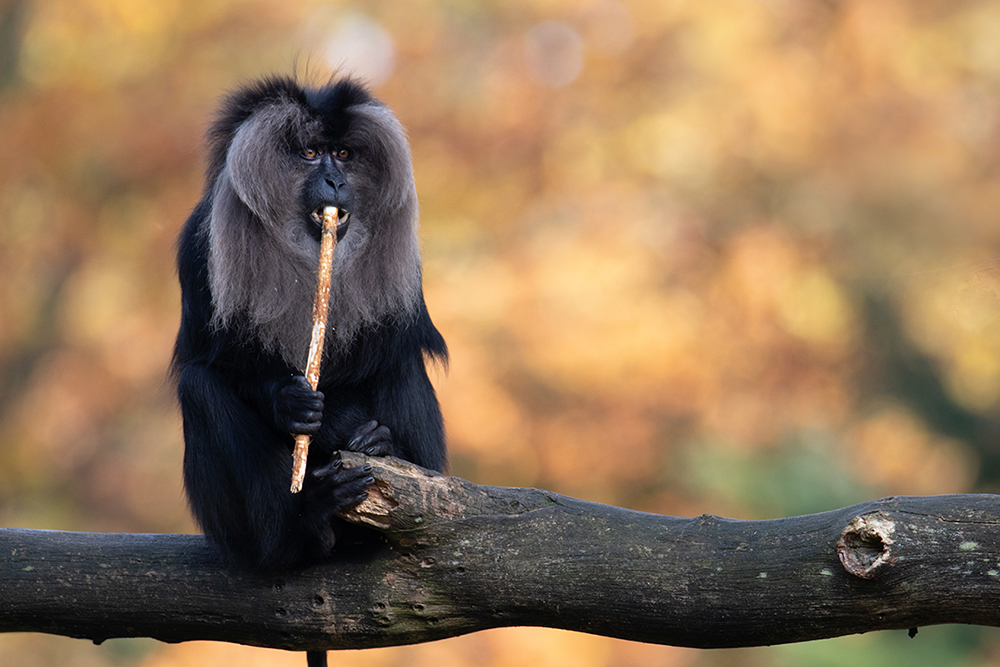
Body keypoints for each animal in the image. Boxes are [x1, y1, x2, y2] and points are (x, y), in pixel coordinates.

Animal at [174, 75, 448, 584]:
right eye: (308, 153)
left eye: (342, 154)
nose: (335, 182)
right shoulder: (197, 247)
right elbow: (215, 360)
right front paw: (292, 404)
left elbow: (392, 348)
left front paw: (377, 441)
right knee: (199, 386)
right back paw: (308, 525)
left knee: (401, 364)